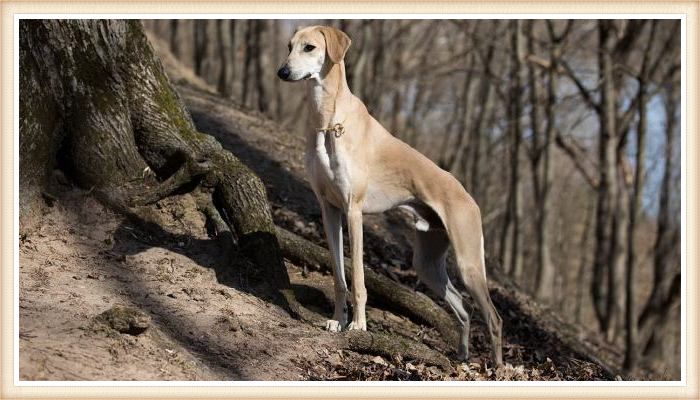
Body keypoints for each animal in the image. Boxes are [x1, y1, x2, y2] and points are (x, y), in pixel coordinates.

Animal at [278, 24, 504, 362]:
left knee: (494, 317)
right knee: (464, 308)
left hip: (468, 263)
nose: (282, 72)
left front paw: (358, 326)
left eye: (310, 47)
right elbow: (339, 277)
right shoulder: (329, 210)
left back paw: (498, 368)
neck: (329, 121)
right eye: (289, 46)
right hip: (427, 263)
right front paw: (337, 321)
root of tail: (470, 197)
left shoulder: (353, 211)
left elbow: (358, 278)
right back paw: (462, 356)